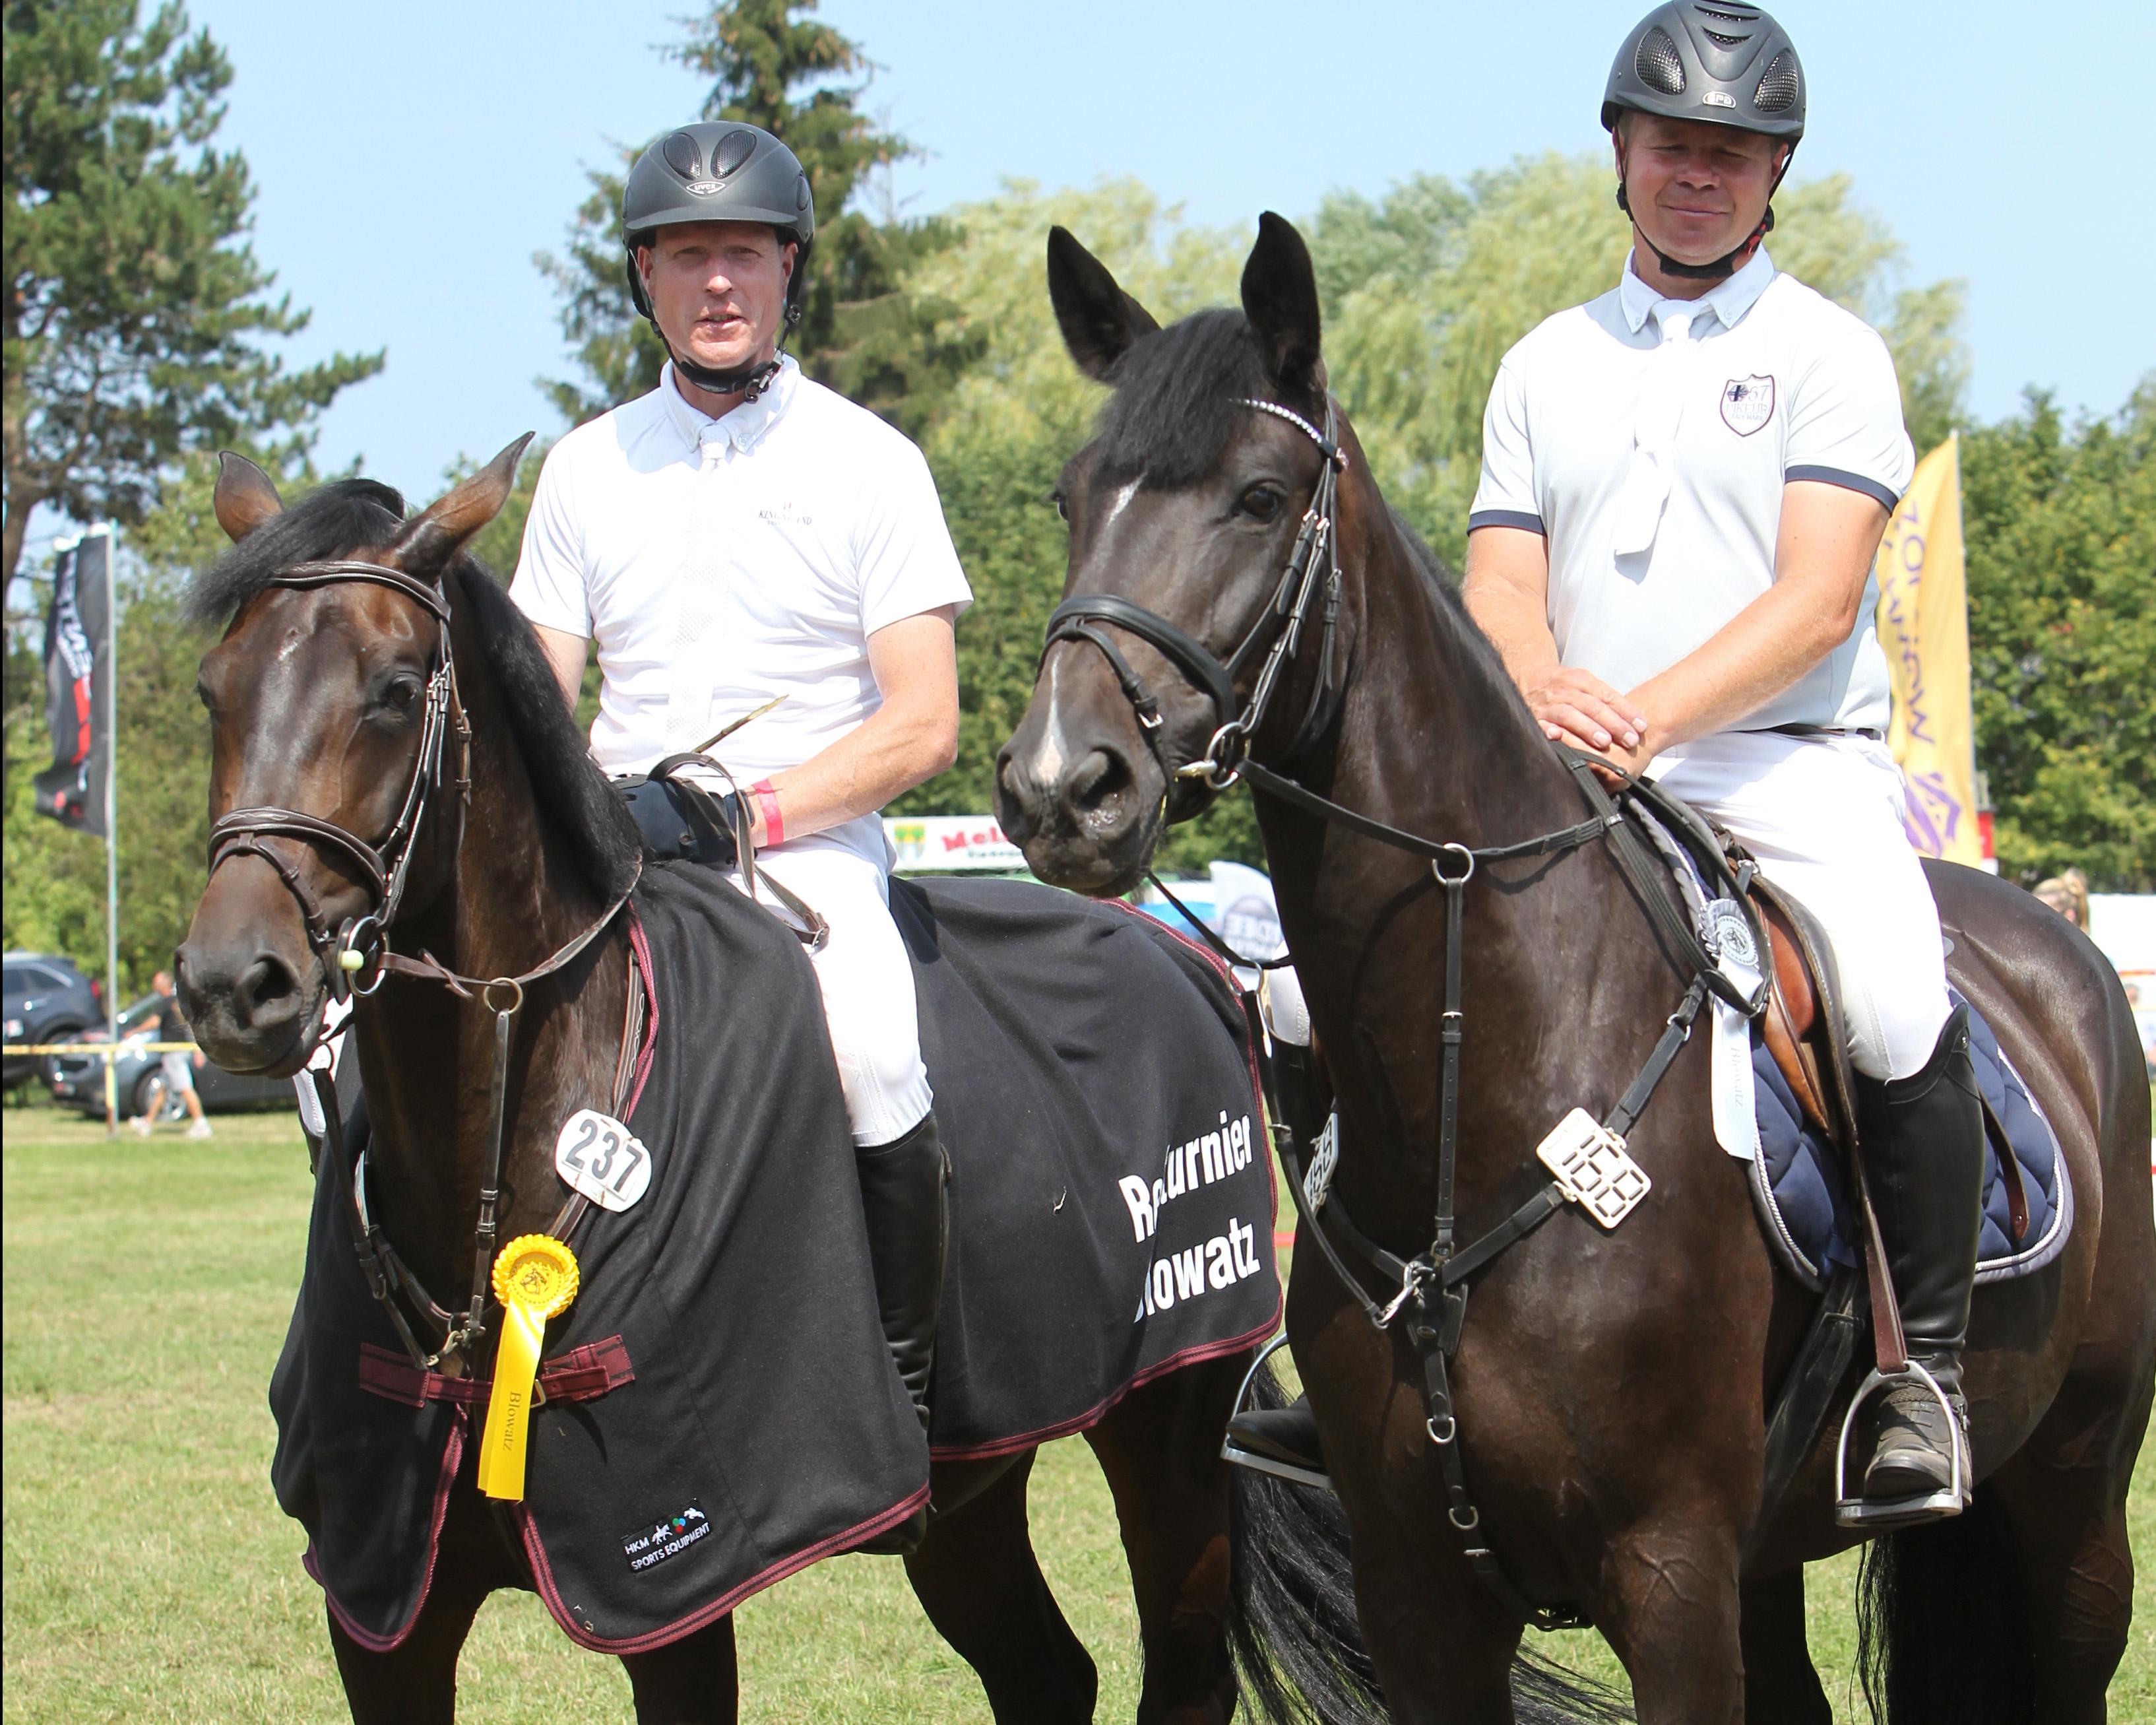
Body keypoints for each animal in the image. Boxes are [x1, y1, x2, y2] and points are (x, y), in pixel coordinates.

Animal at [181, 448, 1328, 1725]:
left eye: (390, 689)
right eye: (214, 689)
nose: (234, 982)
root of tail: (1192, 955)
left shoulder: (672, 1579)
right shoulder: (384, 1602)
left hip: (1169, 1427)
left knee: (1179, 1671)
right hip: (975, 1483)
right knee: (1043, 1671)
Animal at [992, 218, 2156, 1725]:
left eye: (1256, 497)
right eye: (1071, 498)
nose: (1057, 788)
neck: (1487, 1065)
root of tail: (2056, 945)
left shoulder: (1666, 1571)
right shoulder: (1422, 1591)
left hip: (2070, 1496)